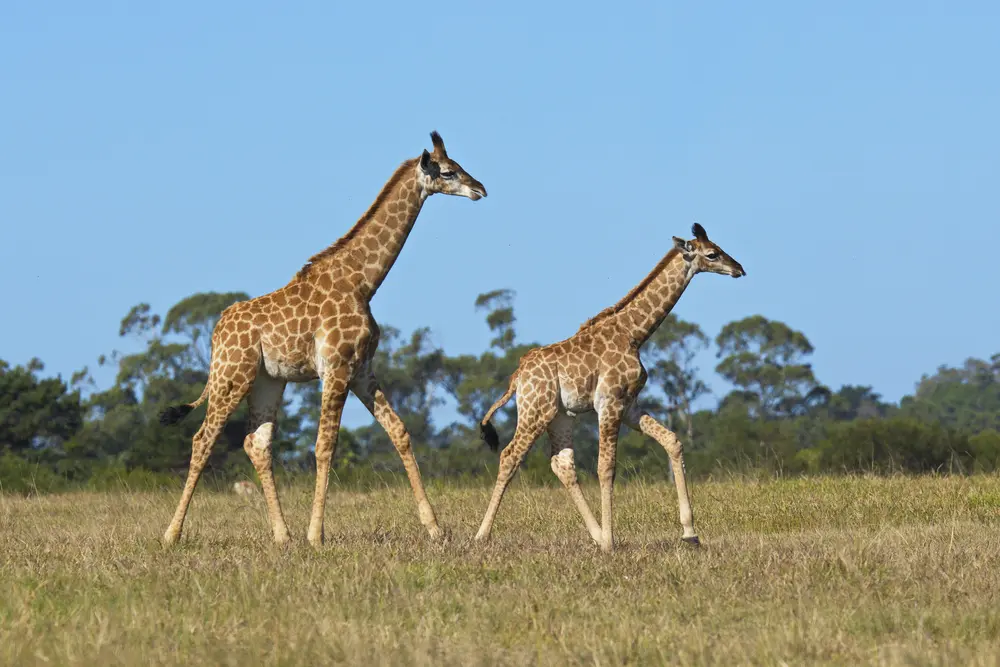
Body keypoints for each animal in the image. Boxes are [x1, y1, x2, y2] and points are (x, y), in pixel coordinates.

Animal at [158, 131, 487, 547]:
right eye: (447, 171)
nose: (480, 189)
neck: (363, 282)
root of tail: (217, 330)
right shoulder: (336, 367)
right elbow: (325, 444)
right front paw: (317, 534)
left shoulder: (361, 369)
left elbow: (399, 431)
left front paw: (435, 528)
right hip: (231, 375)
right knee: (203, 438)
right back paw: (171, 534)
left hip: (267, 381)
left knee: (257, 443)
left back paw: (282, 535)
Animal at [474, 223, 745, 552]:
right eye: (712, 253)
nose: (739, 269)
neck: (634, 333)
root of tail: (517, 377)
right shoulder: (610, 402)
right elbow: (606, 467)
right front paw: (611, 543)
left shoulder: (629, 405)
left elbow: (672, 441)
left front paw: (690, 533)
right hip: (535, 410)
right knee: (510, 456)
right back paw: (481, 535)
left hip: (560, 416)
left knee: (562, 464)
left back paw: (596, 534)